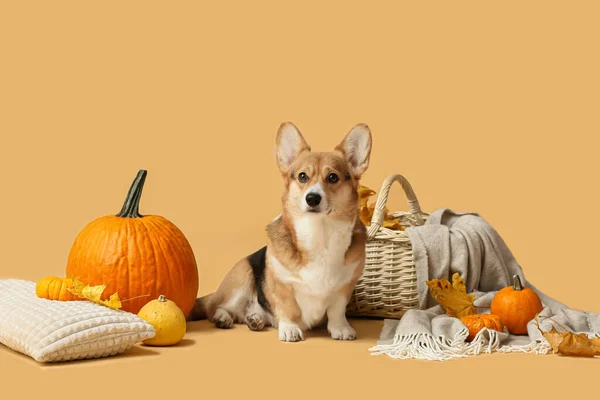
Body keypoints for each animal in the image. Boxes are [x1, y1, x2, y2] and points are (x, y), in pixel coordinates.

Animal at [190, 122, 372, 340]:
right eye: (302, 176)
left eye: (332, 177)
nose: (312, 198)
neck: (319, 233)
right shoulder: (282, 284)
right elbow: (288, 308)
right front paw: (290, 329)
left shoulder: (344, 287)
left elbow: (337, 310)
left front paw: (341, 329)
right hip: (241, 278)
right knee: (216, 308)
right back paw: (223, 318)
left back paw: (255, 319)